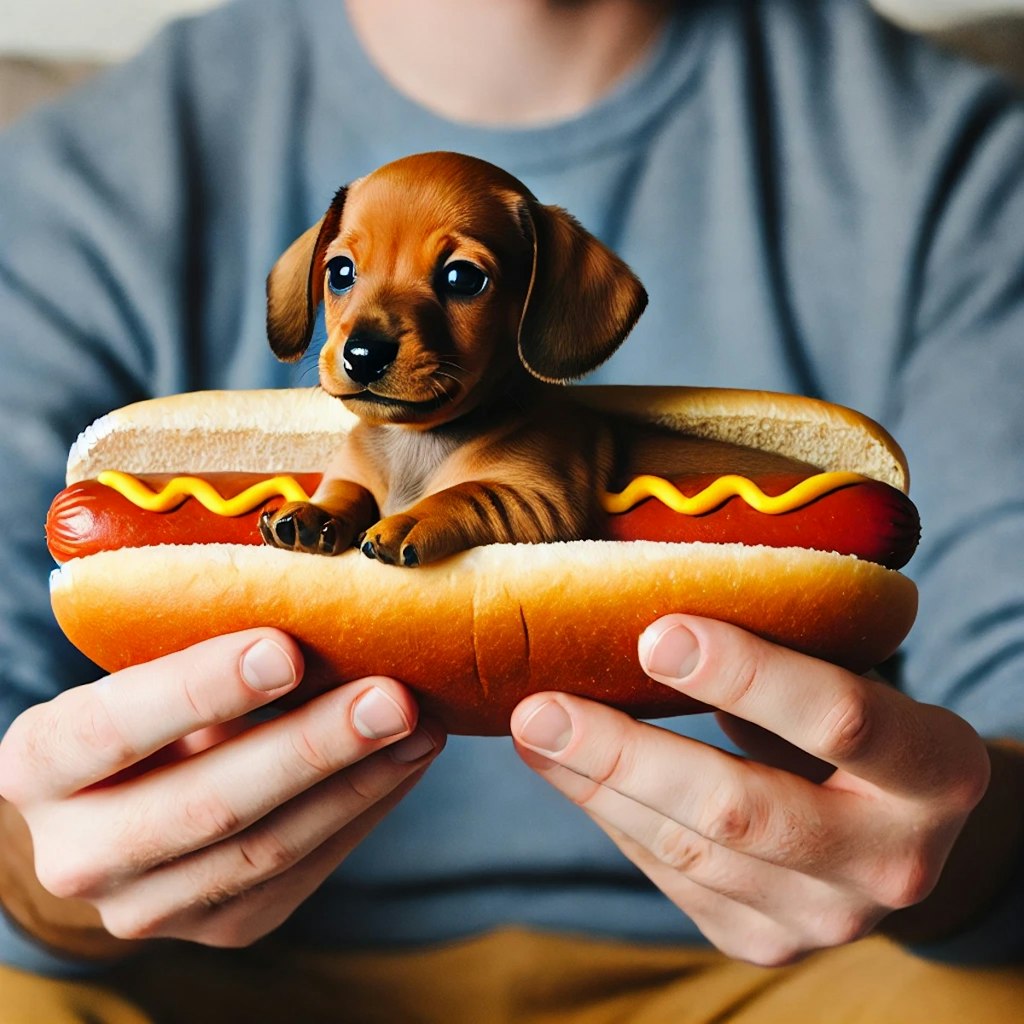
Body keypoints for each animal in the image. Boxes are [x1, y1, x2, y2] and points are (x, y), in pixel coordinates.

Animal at [262, 151, 798, 569]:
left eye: (462, 278)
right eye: (340, 272)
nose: (363, 355)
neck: (416, 443)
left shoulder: (540, 501)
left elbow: (467, 493)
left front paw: (413, 518)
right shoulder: (352, 474)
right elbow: (346, 490)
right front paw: (314, 513)